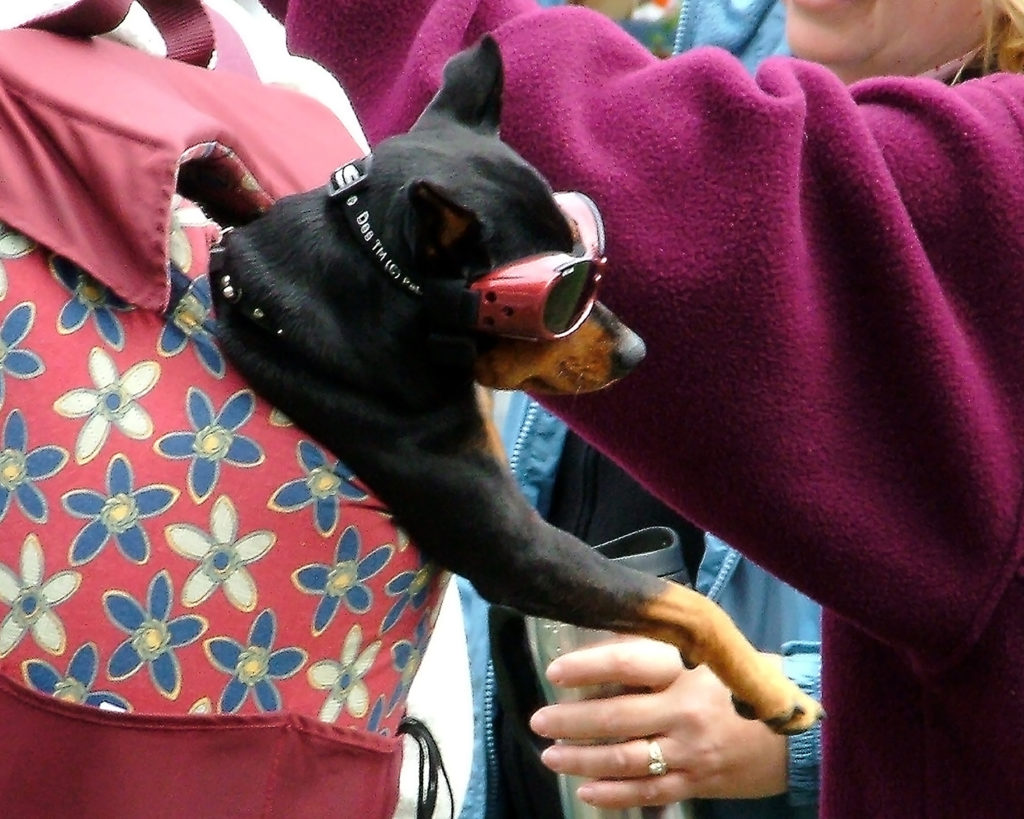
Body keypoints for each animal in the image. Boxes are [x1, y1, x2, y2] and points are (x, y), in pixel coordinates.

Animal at [211, 35, 819, 733]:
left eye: (586, 257)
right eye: (559, 300)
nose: (637, 352)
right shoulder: (516, 551)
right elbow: (677, 600)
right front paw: (771, 691)